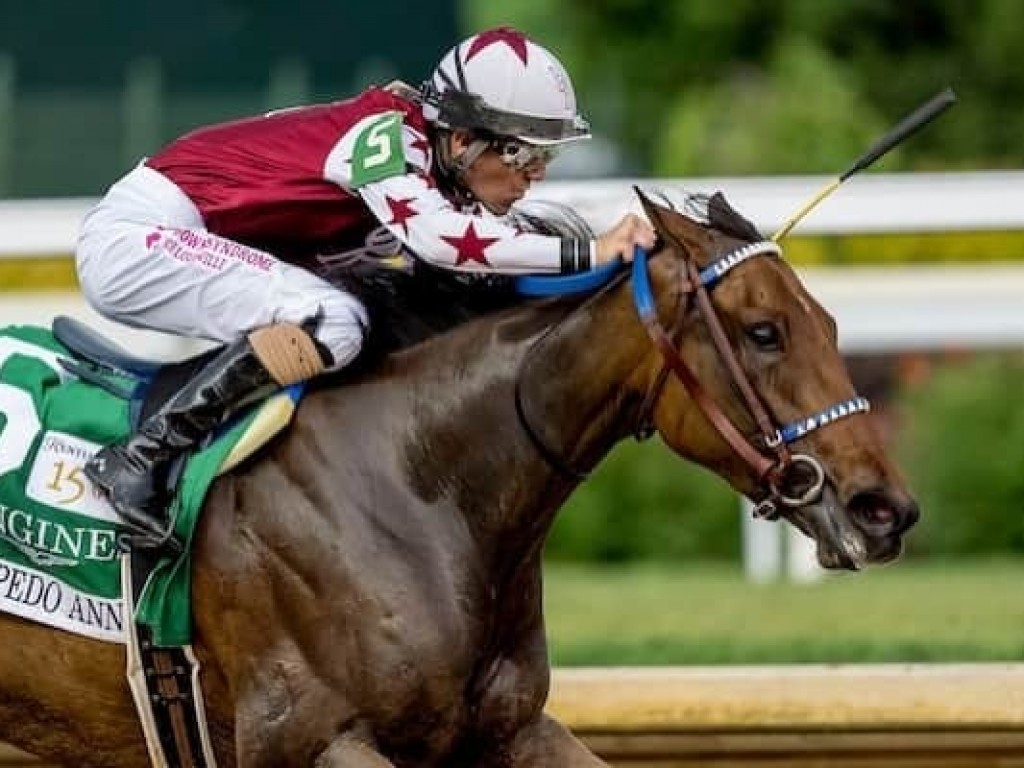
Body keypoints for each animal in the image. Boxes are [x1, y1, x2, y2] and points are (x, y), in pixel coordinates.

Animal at [0, 191, 921, 765]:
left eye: (830, 323)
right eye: (764, 332)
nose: (884, 509)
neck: (416, 481)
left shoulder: (507, 732)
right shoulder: (306, 737)